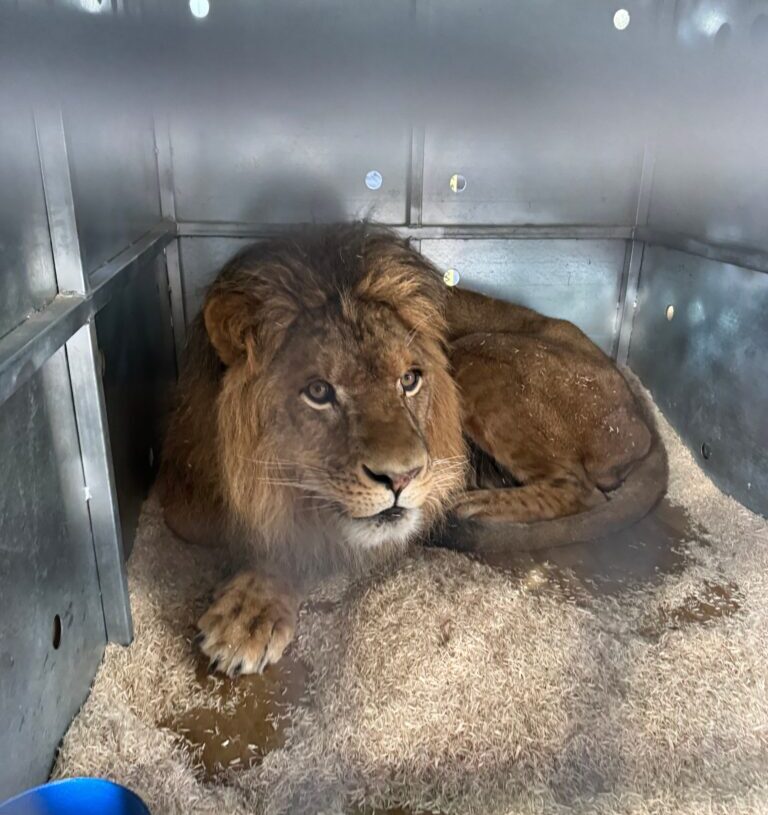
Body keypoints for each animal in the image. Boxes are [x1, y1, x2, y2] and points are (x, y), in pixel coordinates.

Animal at [158, 224, 667, 677]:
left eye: (410, 380)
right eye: (319, 391)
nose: (402, 478)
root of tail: (639, 411)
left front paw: (250, 612)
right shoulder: (184, 506)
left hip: (477, 354)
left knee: (580, 489)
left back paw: (476, 504)